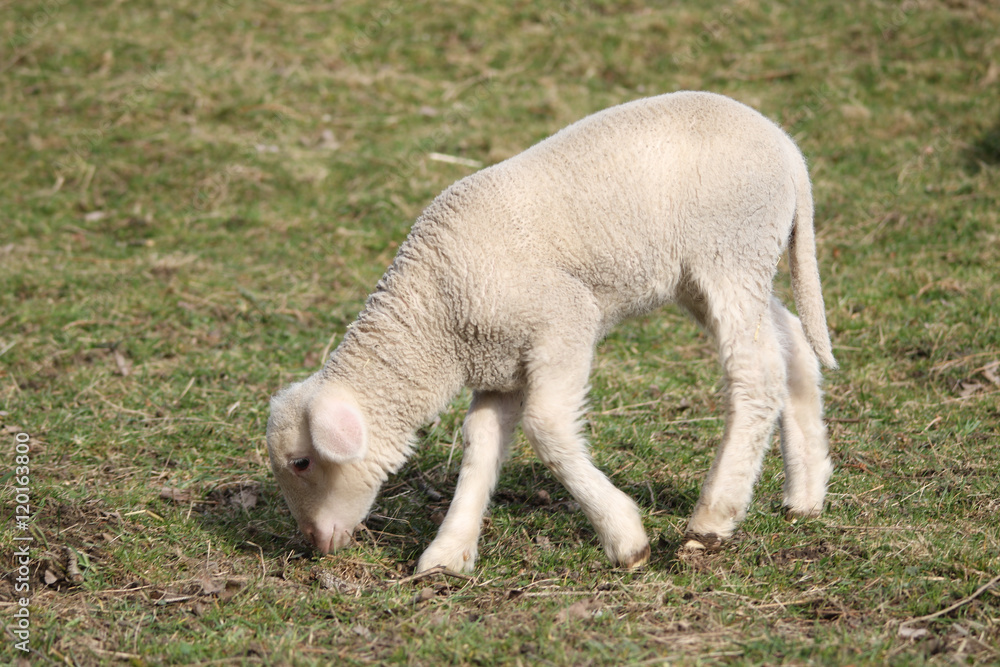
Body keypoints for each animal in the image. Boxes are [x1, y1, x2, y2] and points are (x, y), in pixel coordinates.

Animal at [266, 90, 836, 576]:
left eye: (301, 462)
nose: (313, 543)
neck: (434, 317)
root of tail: (788, 151)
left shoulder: (565, 320)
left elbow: (545, 428)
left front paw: (625, 538)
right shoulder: (500, 368)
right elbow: (480, 446)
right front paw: (448, 554)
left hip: (731, 248)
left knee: (756, 374)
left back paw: (712, 520)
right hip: (711, 272)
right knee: (791, 345)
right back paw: (805, 494)